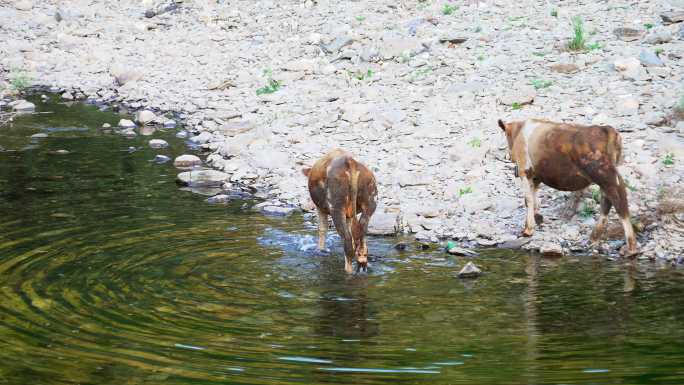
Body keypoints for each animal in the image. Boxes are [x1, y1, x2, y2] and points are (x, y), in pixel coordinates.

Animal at [496, 117, 640, 255]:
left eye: (506, 136)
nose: (508, 156)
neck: (519, 131)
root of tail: (605, 129)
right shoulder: (536, 176)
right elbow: (535, 198)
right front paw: (538, 219)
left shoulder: (524, 170)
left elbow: (528, 200)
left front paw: (528, 230)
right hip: (606, 175)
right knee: (607, 201)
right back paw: (594, 238)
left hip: (604, 174)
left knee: (618, 200)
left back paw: (631, 248)